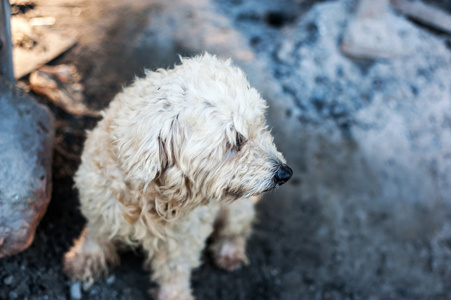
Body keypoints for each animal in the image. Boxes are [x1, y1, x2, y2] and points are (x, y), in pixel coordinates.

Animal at [65, 52, 294, 298]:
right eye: (236, 140)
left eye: (261, 126)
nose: (285, 173)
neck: (153, 195)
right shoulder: (100, 203)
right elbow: (97, 235)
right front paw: (83, 258)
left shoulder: (186, 236)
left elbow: (175, 270)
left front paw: (174, 295)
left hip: (236, 210)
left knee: (236, 230)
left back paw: (229, 251)